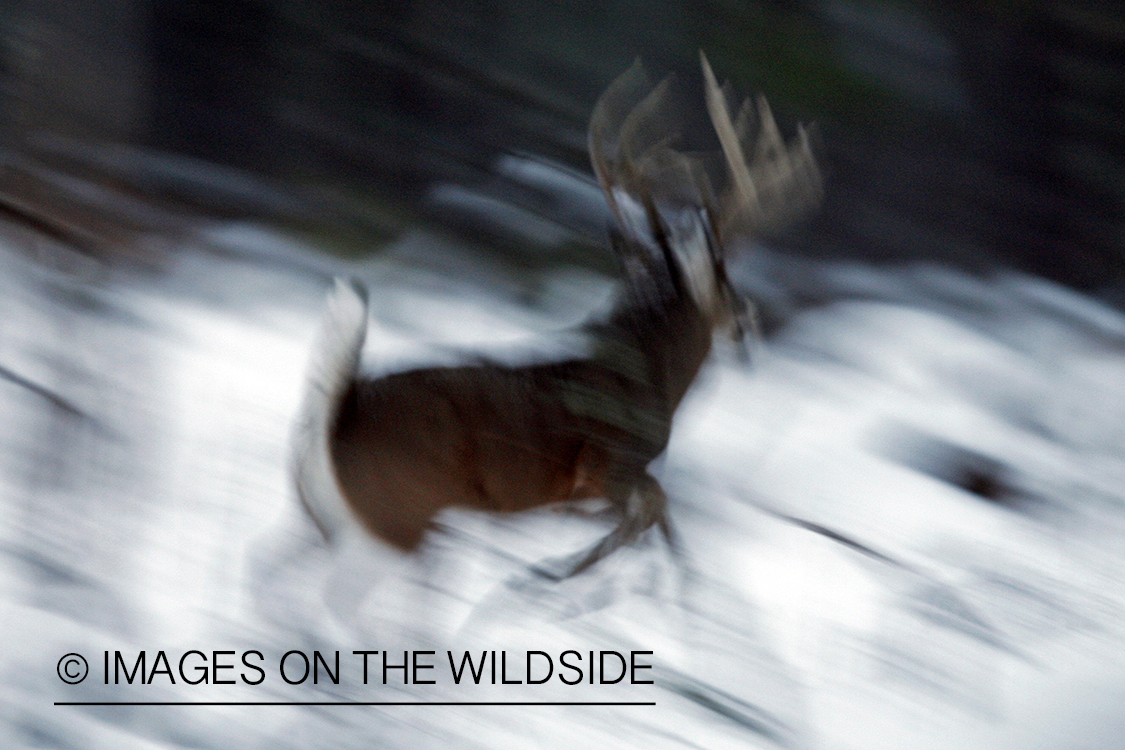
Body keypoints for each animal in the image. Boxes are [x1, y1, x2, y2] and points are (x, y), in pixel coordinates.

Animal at [290, 52, 819, 580]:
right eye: (724, 278)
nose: (748, 320)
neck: (655, 375)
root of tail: (340, 412)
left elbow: (648, 520)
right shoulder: (609, 464)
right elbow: (653, 513)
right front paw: (558, 576)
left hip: (342, 517)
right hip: (400, 513)